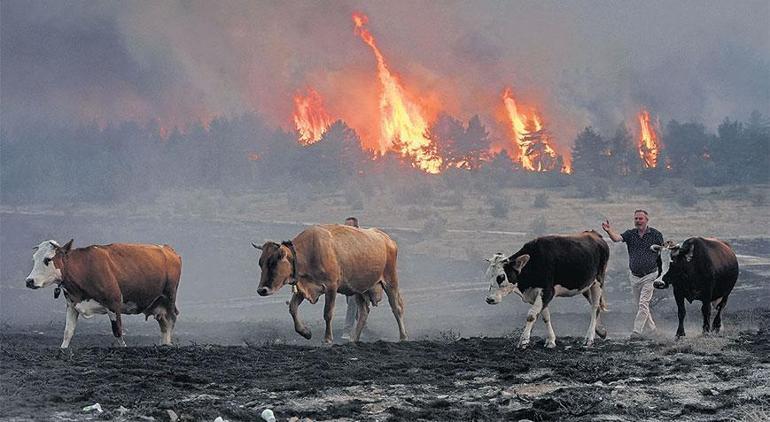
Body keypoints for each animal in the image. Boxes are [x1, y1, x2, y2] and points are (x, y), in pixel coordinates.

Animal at [25, 239, 182, 348]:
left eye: (47, 259)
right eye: (34, 259)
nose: (29, 281)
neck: (84, 268)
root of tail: (168, 249)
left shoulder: (114, 303)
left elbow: (117, 331)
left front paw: (124, 347)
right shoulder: (72, 305)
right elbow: (67, 332)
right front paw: (63, 349)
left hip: (169, 296)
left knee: (171, 319)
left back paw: (167, 345)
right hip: (157, 303)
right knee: (163, 322)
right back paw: (163, 344)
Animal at [254, 224, 408, 342]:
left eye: (273, 262)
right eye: (260, 263)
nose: (261, 290)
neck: (309, 253)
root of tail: (387, 239)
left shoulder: (331, 287)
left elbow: (327, 313)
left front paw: (327, 339)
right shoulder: (304, 288)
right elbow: (292, 307)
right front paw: (305, 332)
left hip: (391, 281)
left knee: (397, 308)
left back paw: (403, 337)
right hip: (359, 289)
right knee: (364, 312)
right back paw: (354, 339)